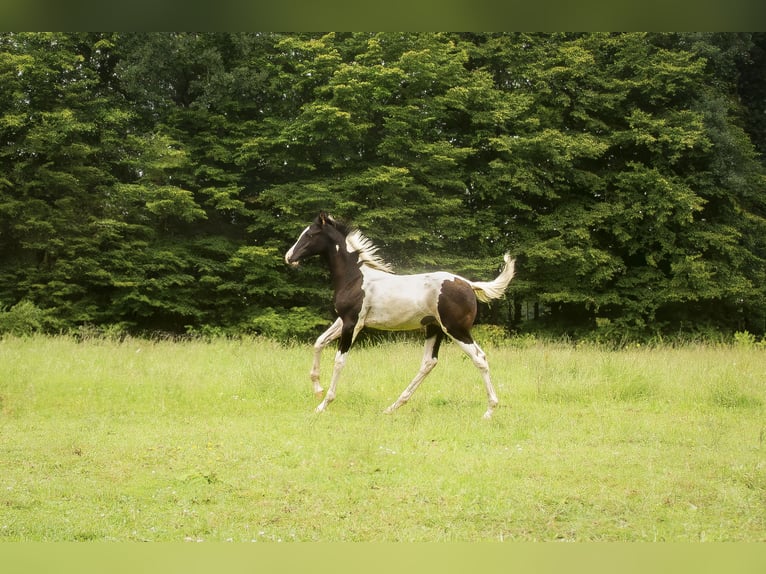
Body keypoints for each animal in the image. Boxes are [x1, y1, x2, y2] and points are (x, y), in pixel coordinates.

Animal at [284, 212, 520, 418]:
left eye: (310, 235)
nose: (289, 257)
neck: (355, 278)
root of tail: (469, 284)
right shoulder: (343, 320)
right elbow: (319, 342)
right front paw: (317, 389)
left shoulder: (353, 323)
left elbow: (339, 360)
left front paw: (323, 404)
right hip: (435, 329)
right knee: (429, 362)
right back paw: (393, 407)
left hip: (455, 330)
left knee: (478, 358)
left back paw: (489, 411)